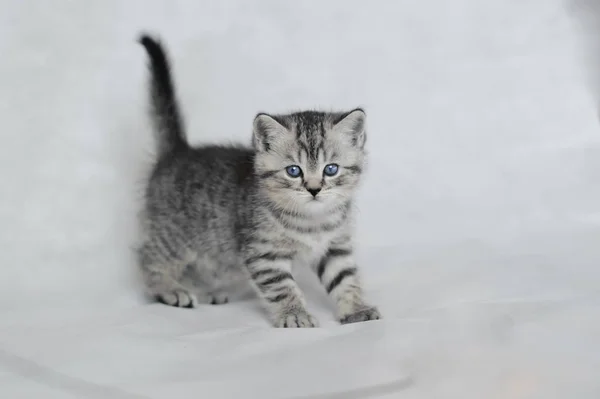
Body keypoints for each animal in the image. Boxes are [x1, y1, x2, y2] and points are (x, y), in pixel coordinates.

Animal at [136, 34, 380, 328]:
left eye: (330, 169)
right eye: (294, 171)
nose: (314, 189)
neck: (312, 221)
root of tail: (178, 152)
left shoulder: (335, 246)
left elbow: (345, 278)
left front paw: (355, 308)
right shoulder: (263, 252)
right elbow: (282, 286)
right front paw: (294, 314)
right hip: (174, 235)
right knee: (147, 256)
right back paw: (170, 289)